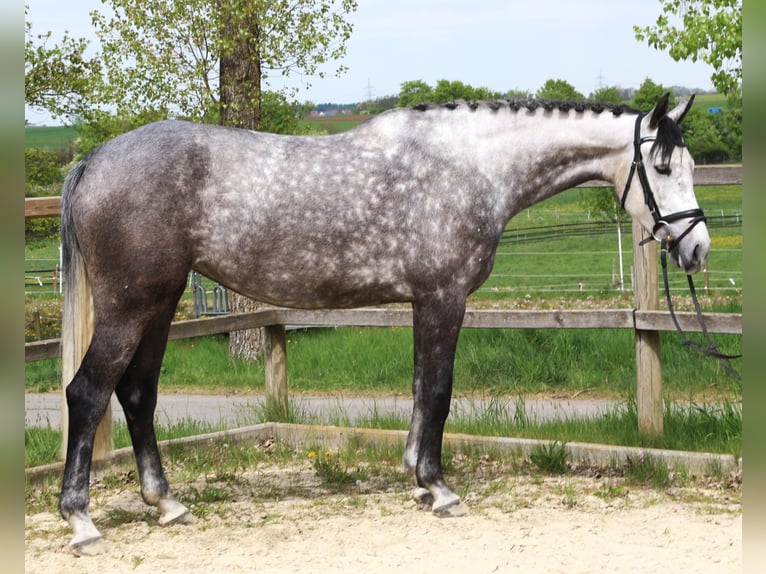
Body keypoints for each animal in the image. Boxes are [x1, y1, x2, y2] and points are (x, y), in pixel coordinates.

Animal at [58, 93, 708, 553]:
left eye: (690, 164)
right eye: (662, 166)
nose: (697, 248)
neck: (471, 164)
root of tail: (93, 160)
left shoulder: (424, 302)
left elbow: (421, 387)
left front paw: (417, 480)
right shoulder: (445, 298)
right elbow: (440, 390)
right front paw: (440, 489)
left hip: (160, 304)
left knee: (137, 394)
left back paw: (167, 504)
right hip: (129, 308)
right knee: (87, 392)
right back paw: (82, 521)